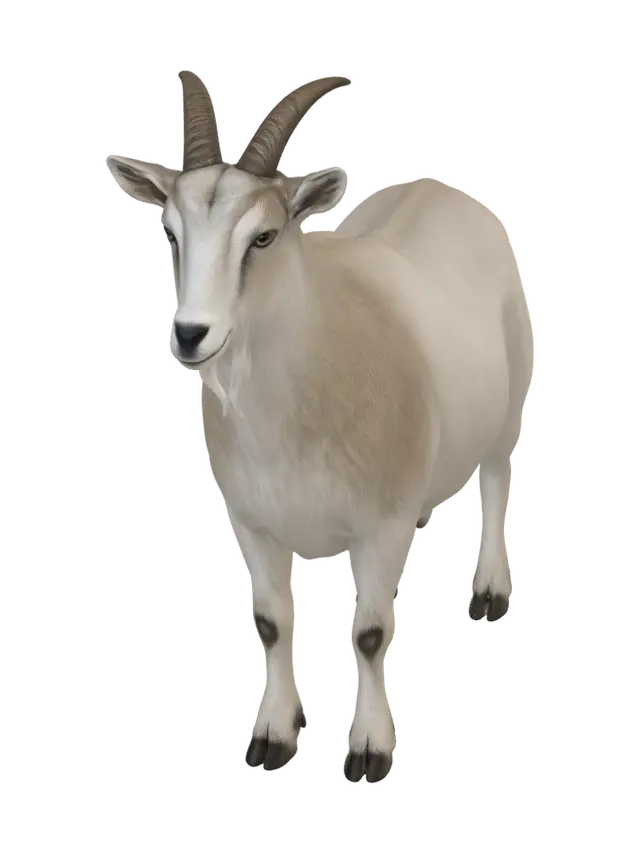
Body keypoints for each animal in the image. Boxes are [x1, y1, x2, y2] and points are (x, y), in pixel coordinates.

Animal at [106, 69, 534, 783]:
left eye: (264, 237)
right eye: (170, 235)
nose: (190, 334)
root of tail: (439, 187)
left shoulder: (380, 525)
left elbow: (371, 633)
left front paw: (370, 750)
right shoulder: (253, 523)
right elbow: (273, 623)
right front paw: (273, 738)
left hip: (509, 401)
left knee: (499, 477)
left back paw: (491, 593)